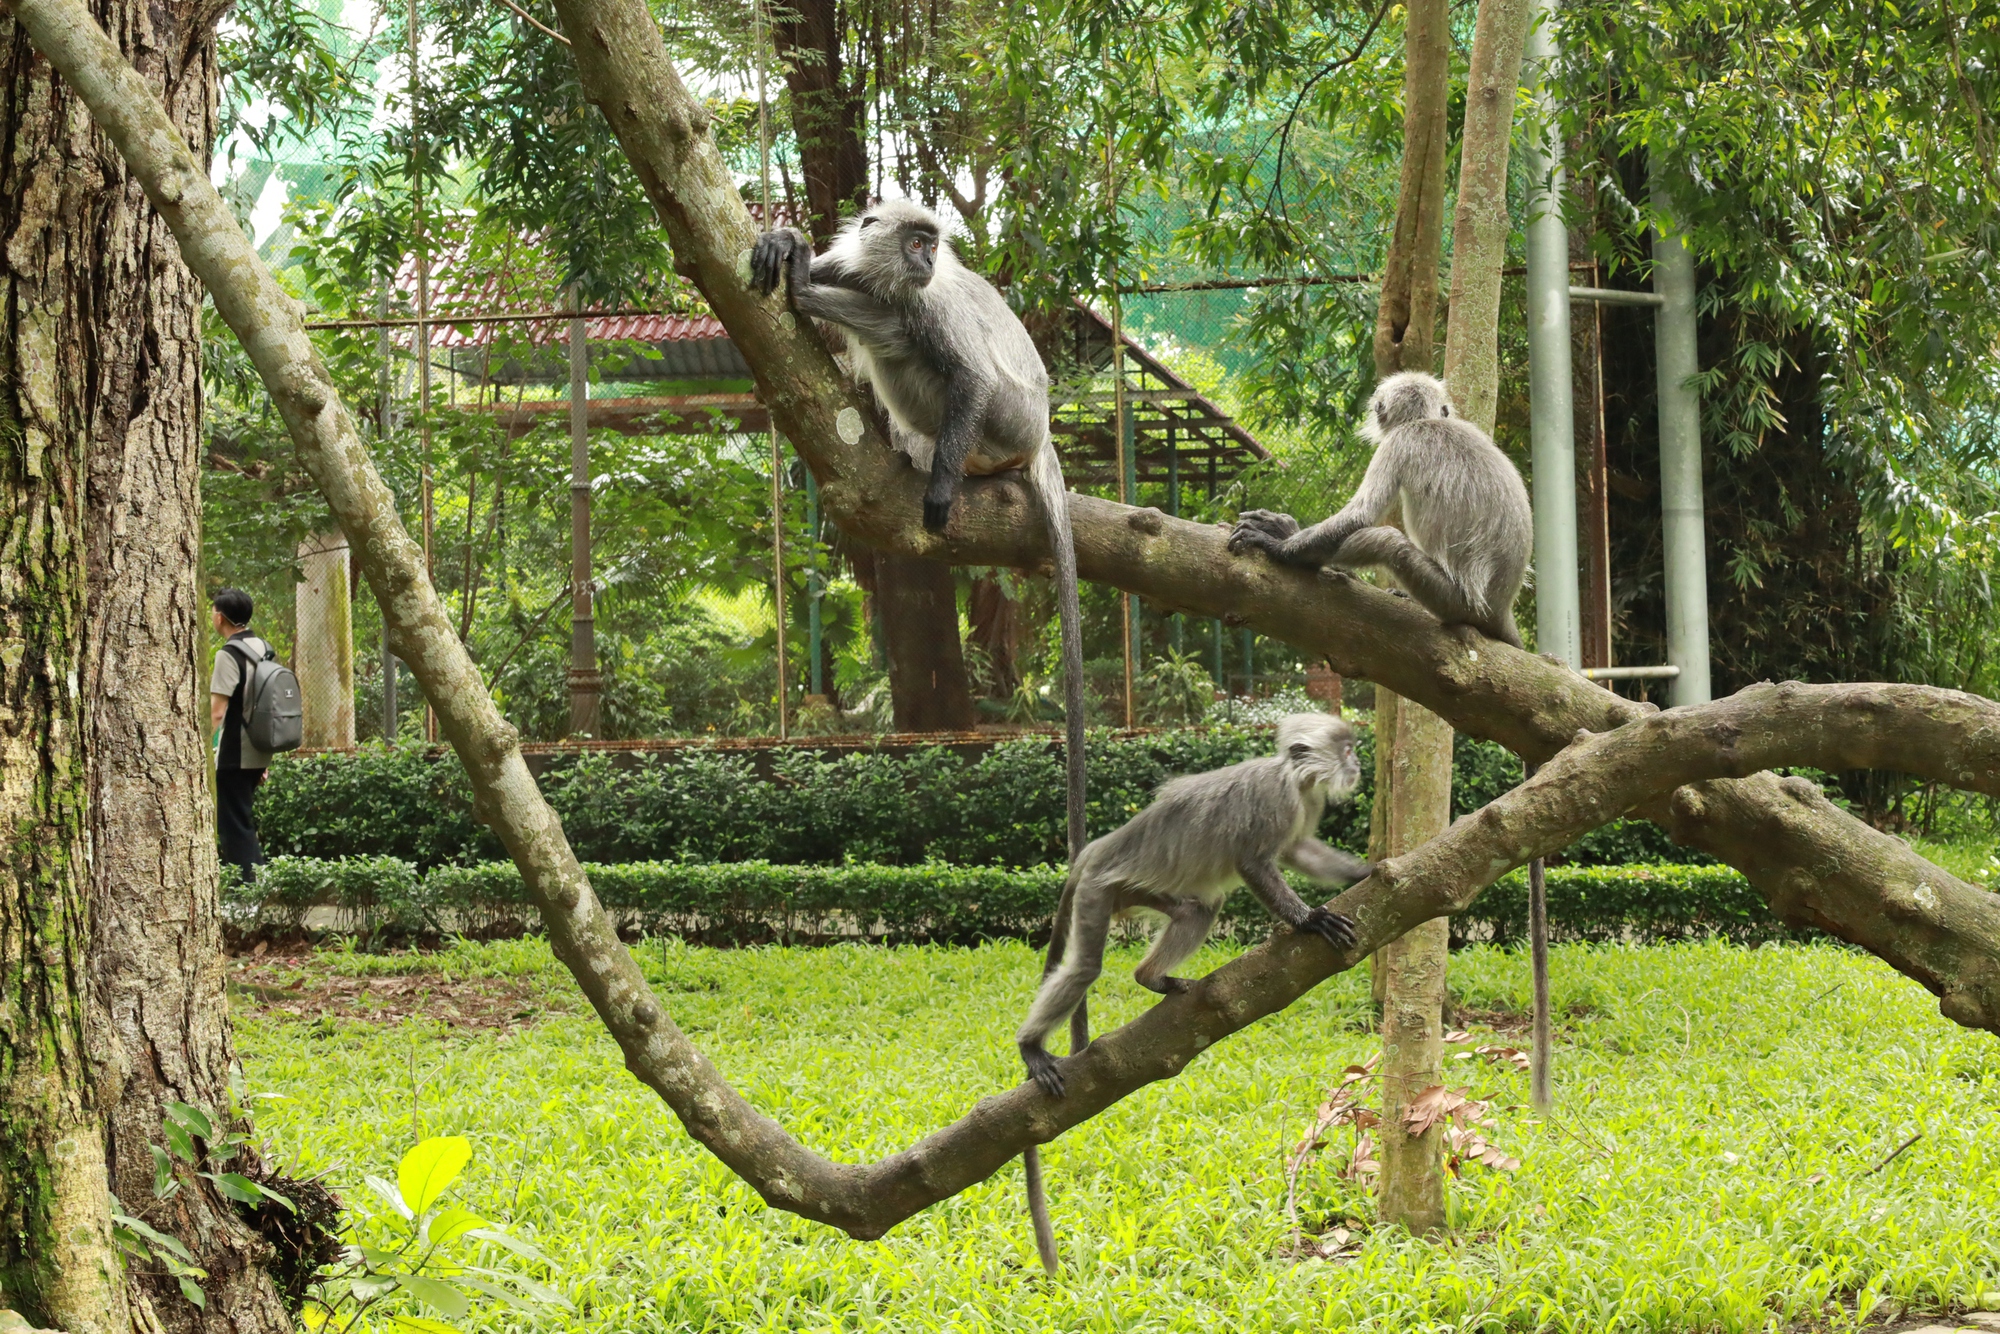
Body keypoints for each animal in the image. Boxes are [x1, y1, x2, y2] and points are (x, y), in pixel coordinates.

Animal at [1016, 716, 1376, 1104]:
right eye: (1348, 751)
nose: (1358, 764)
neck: (1294, 778)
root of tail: (1096, 850)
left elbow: (1297, 850)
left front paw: (1365, 871)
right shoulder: (1275, 799)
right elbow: (1252, 863)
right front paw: (1309, 920)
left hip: (1129, 889)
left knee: (1197, 911)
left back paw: (1151, 976)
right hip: (1096, 889)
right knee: (1084, 969)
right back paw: (1030, 1047)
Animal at [1216, 374, 1528, 648]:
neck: (1424, 421)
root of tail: (1501, 607)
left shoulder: (1397, 443)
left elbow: (1360, 516)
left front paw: (1278, 545)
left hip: (1455, 601)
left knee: (1387, 541)